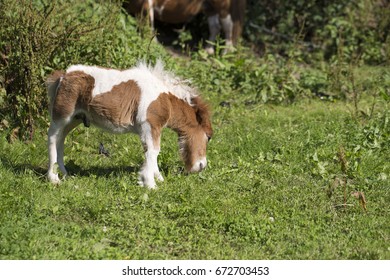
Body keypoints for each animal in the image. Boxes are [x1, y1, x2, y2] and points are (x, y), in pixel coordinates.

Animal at [46, 60, 213, 189]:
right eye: (208, 137)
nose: (202, 166)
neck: (164, 98)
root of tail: (63, 76)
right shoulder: (150, 125)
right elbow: (153, 151)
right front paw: (150, 184)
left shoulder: (150, 129)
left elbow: (151, 152)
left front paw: (158, 178)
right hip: (62, 116)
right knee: (53, 138)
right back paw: (53, 178)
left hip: (75, 119)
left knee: (61, 140)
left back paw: (64, 173)